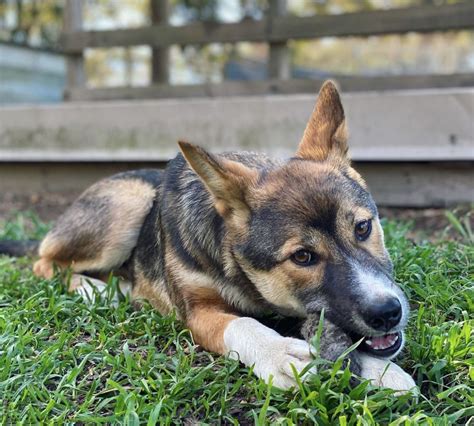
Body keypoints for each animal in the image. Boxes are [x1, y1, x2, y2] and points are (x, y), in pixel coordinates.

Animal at [0, 81, 414, 392]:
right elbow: (242, 325)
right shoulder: (197, 312)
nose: (387, 313)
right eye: (302, 257)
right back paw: (96, 289)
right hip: (129, 203)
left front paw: (380, 371)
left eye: (363, 228)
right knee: (44, 262)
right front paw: (280, 354)